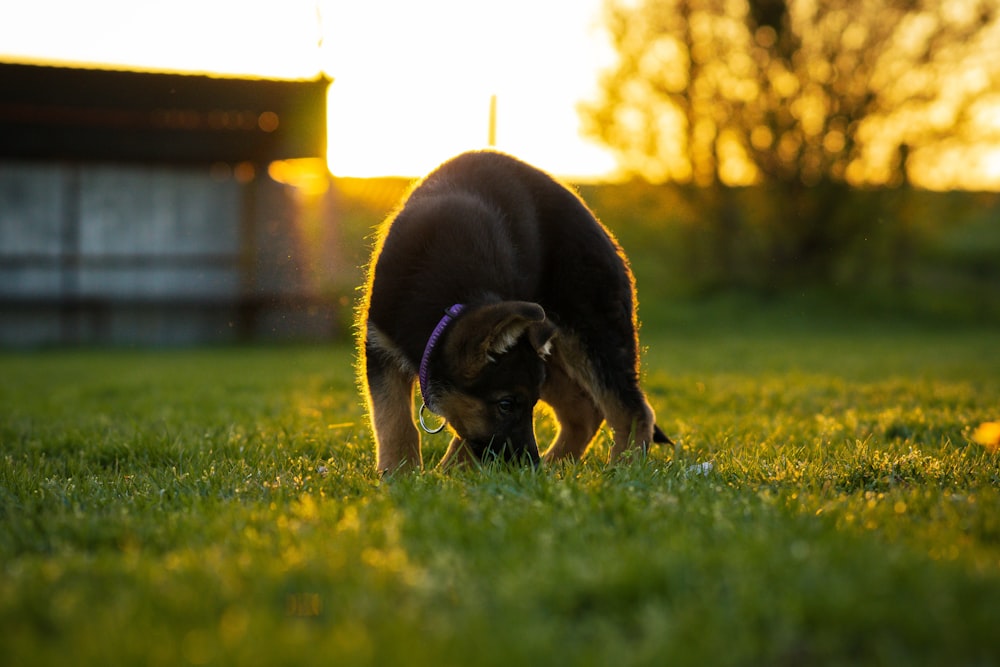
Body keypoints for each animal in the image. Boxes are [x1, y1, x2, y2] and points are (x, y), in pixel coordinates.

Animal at [356, 151, 668, 474]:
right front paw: (399, 473)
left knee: (633, 410)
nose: (528, 468)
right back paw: (557, 464)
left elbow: (463, 432)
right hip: (552, 351)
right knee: (586, 411)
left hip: (592, 333)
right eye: (506, 404)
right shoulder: (380, 347)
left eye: (528, 404)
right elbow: (394, 420)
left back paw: (622, 467)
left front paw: (446, 472)